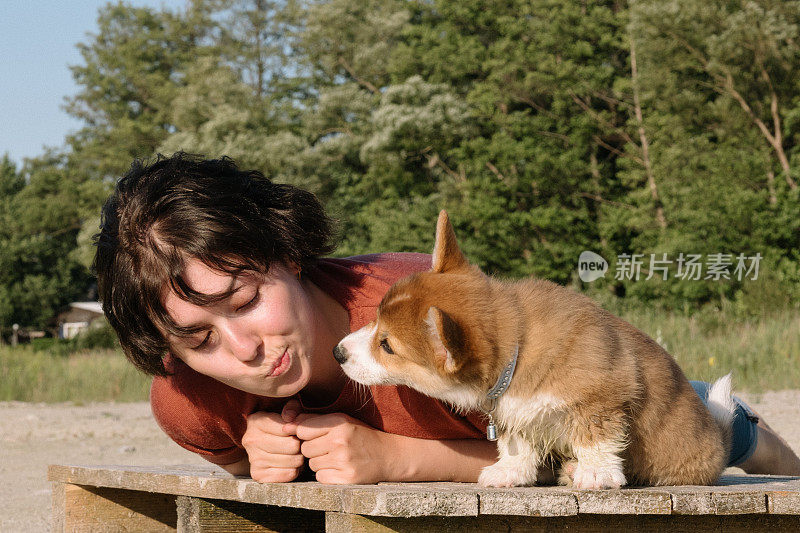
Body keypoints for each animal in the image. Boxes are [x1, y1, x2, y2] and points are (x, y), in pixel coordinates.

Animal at [334, 209, 736, 486]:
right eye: (376, 319)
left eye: (387, 345)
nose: (338, 352)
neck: (518, 348)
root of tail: (720, 443)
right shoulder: (516, 414)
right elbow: (517, 446)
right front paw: (507, 473)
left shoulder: (603, 395)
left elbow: (595, 438)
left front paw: (595, 474)